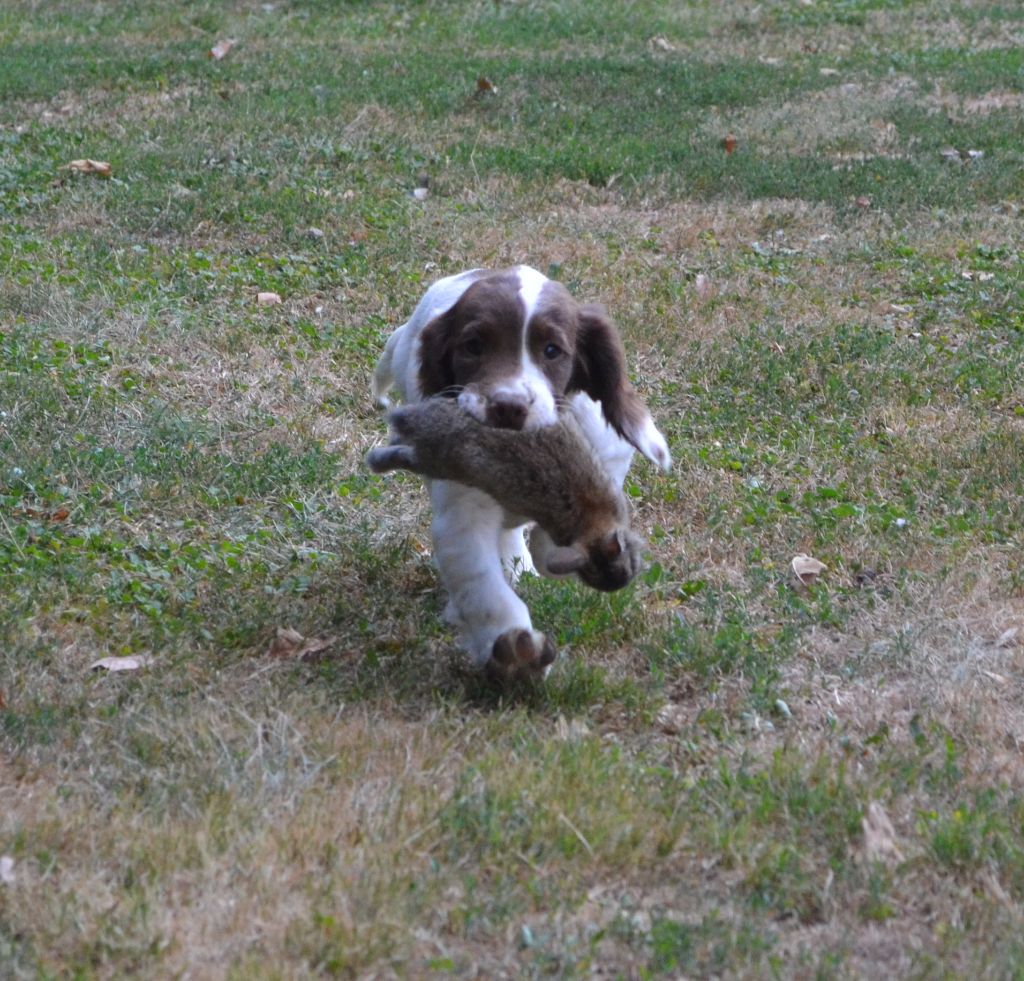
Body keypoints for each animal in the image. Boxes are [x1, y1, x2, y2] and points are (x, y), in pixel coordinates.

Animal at [370, 266, 671, 684]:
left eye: (552, 350)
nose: (508, 407)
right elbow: (483, 588)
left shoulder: (607, 462)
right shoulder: (462, 508)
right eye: (473, 345)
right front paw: (515, 652)